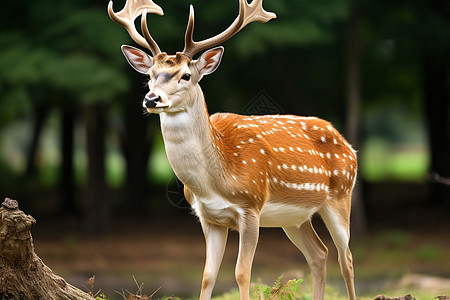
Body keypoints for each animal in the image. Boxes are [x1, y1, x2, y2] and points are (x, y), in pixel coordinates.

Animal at [107, 0, 356, 300]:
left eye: (186, 75)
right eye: (149, 76)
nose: (151, 99)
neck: (216, 180)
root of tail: (348, 144)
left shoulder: (251, 207)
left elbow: (241, 273)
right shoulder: (208, 218)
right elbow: (207, 276)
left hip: (341, 196)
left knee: (346, 259)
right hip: (294, 218)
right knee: (319, 254)